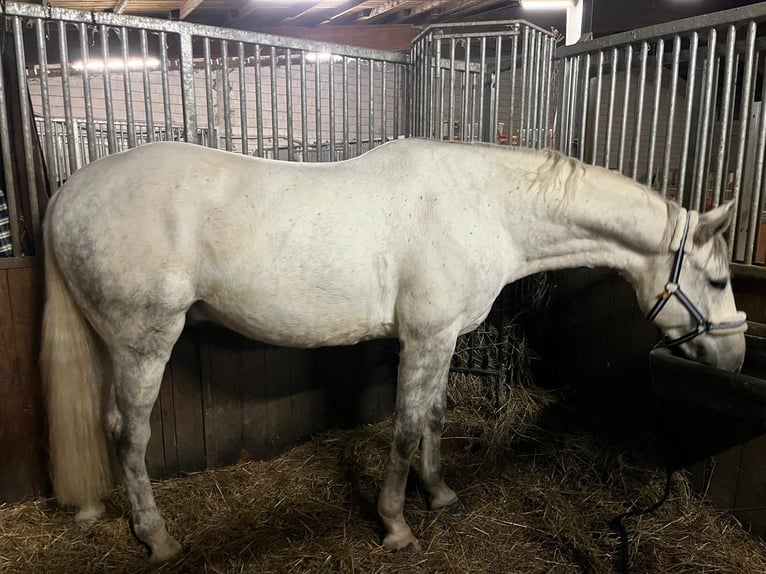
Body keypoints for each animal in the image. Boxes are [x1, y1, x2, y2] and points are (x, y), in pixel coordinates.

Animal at [41, 137, 747, 562]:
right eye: (716, 281)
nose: (736, 360)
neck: (485, 209)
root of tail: (68, 193)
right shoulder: (424, 338)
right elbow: (405, 429)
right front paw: (396, 525)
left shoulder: (444, 337)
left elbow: (432, 418)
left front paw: (440, 494)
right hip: (144, 340)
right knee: (127, 432)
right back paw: (157, 538)